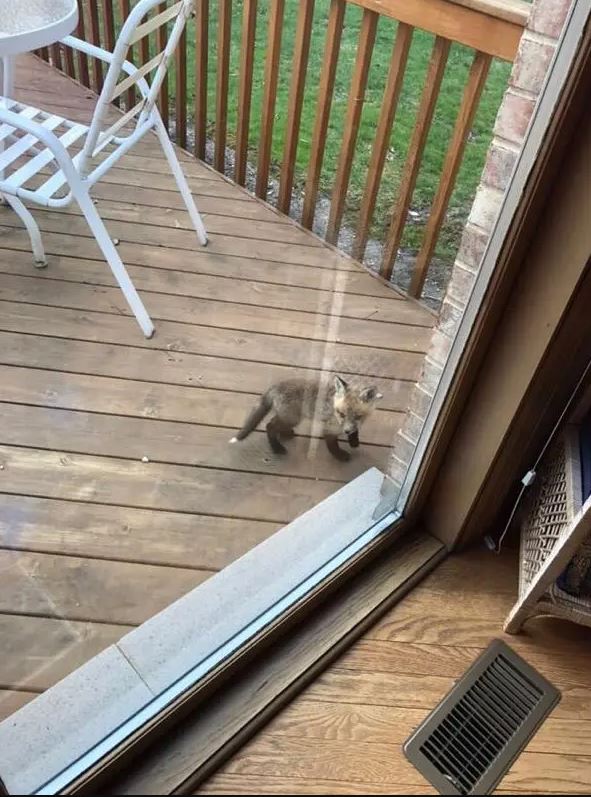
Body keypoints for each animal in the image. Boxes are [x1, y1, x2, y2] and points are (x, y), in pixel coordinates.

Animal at [229, 374, 382, 460]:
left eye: (358, 416)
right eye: (341, 413)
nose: (347, 431)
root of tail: (275, 386)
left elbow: (356, 431)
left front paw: (354, 440)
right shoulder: (329, 427)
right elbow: (332, 444)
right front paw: (339, 455)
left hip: (288, 418)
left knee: (274, 423)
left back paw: (285, 434)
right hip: (292, 418)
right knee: (269, 425)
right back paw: (276, 448)